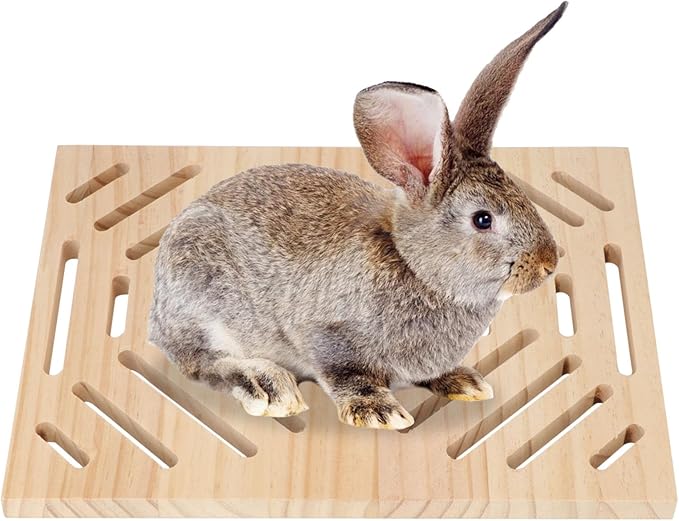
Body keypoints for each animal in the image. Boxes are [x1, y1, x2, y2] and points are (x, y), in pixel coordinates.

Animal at [148, 2, 565, 429]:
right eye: (483, 219)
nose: (548, 263)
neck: (413, 266)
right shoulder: (326, 335)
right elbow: (347, 374)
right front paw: (378, 410)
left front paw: (463, 382)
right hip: (200, 298)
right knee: (201, 364)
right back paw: (267, 387)